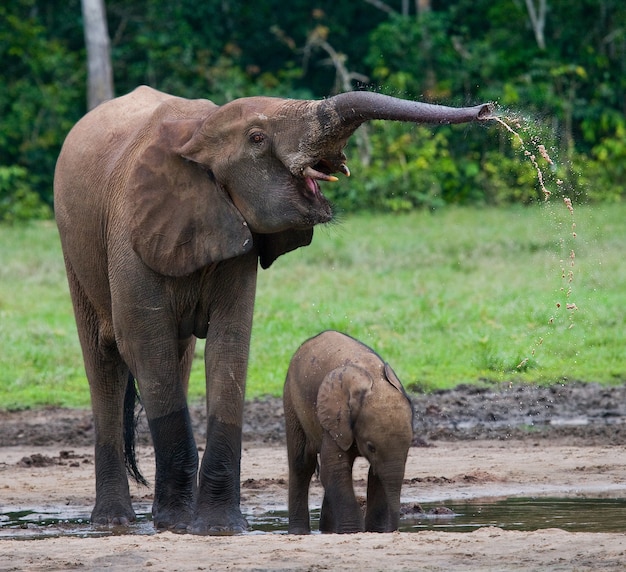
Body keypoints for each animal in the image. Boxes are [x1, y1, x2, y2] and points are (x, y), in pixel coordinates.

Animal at [284, 328, 414, 536]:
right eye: (371, 447)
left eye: (410, 446)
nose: (393, 531)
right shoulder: (335, 422)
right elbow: (335, 469)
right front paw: (353, 532)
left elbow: (376, 474)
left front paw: (374, 532)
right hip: (291, 400)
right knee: (301, 465)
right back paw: (300, 532)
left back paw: (327, 532)